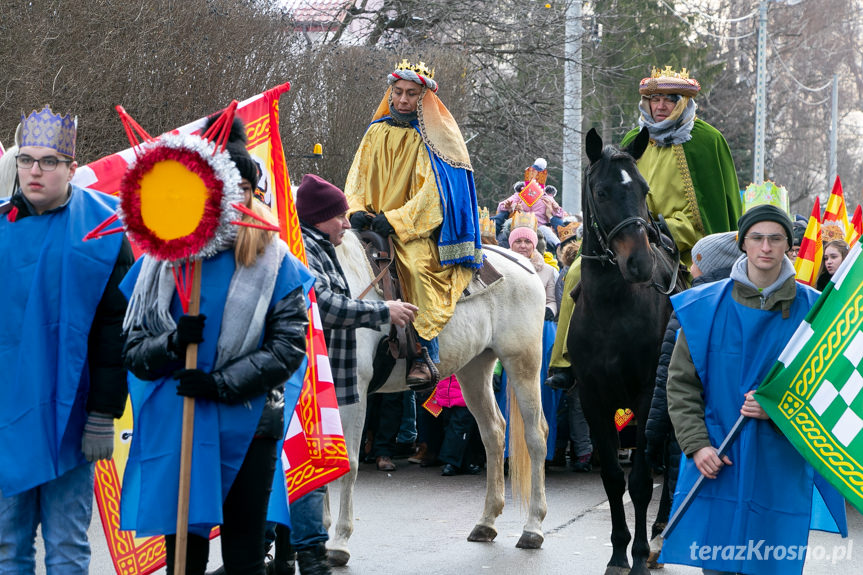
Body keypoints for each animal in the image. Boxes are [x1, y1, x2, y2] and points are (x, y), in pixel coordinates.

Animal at [324, 231, 548, 568]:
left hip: (523, 362)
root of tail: (524, 264)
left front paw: (339, 541)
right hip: (474, 369)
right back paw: (486, 522)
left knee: (536, 436)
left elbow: (347, 463)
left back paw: (533, 527)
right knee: (493, 433)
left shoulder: (354, 393)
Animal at [572, 127, 684, 575]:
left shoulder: (645, 396)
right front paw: (619, 553)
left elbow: (639, 482)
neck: (612, 310)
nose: (638, 263)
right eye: (602, 192)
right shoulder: (593, 400)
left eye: (642, 189)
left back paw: (661, 528)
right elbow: (613, 480)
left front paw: (637, 555)